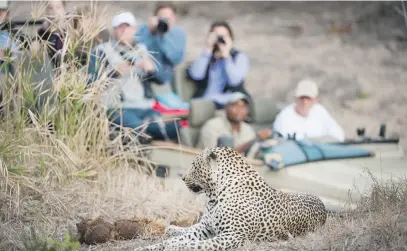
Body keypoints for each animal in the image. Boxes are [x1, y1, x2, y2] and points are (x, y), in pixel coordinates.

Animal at [135, 146, 328, 250]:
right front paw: (147, 247)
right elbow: (179, 239)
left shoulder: (234, 235)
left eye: (193, 164)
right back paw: (173, 228)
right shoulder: (206, 229)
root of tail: (324, 207)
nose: (182, 178)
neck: (214, 195)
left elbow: (198, 245)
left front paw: (174, 247)